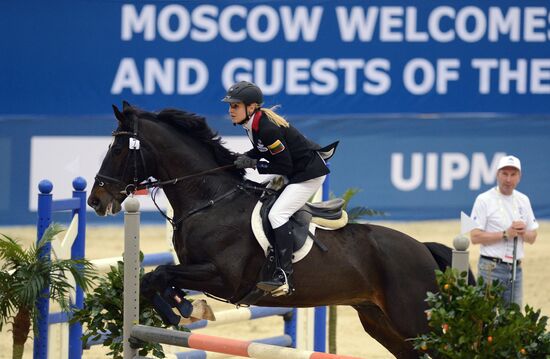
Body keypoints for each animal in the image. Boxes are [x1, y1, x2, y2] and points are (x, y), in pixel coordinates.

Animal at [88, 102, 464, 359]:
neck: (210, 200)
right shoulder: (196, 269)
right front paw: (185, 309)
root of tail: (423, 248)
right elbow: (155, 279)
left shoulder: (225, 278)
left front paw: (182, 311)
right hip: (381, 322)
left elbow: (161, 273)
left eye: (118, 149)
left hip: (413, 319)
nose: (95, 200)